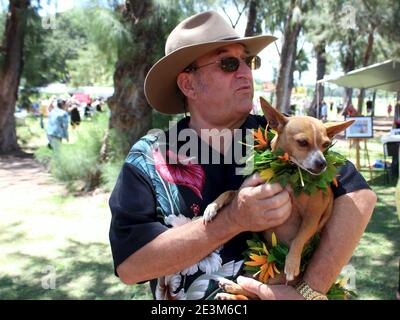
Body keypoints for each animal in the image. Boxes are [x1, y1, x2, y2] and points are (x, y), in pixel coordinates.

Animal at [203, 97, 354, 300]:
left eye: (325, 145)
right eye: (302, 142)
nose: (322, 163)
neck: (290, 173)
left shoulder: (312, 217)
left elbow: (299, 238)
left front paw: (292, 262)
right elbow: (228, 192)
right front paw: (212, 207)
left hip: (274, 278)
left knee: (256, 293)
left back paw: (231, 290)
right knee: (252, 291)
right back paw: (230, 289)